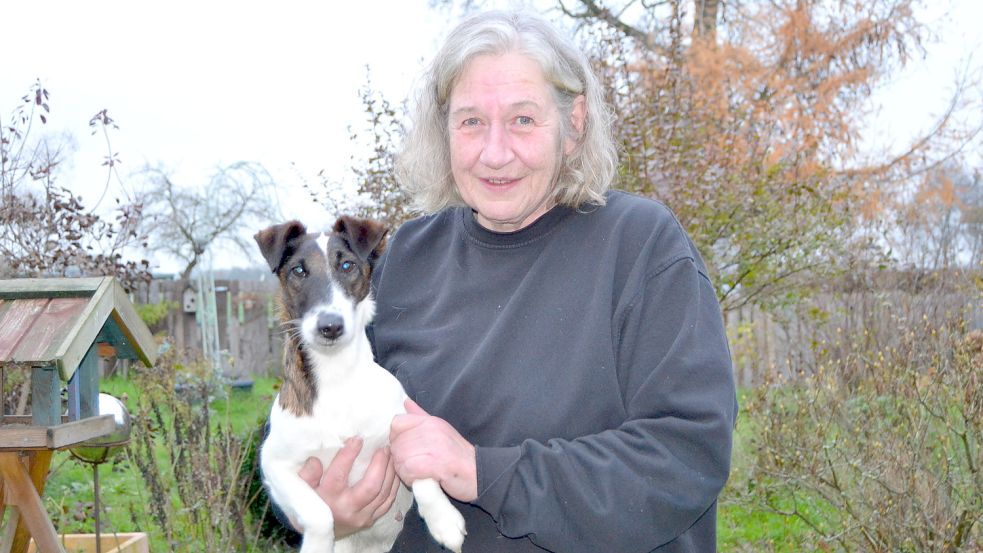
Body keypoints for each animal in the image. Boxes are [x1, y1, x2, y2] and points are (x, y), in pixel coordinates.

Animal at [254, 217, 468, 552]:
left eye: (347, 265)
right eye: (298, 271)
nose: (330, 326)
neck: (336, 376)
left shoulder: (403, 423)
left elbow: (423, 470)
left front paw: (443, 519)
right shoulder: (274, 465)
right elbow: (319, 513)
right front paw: (317, 545)